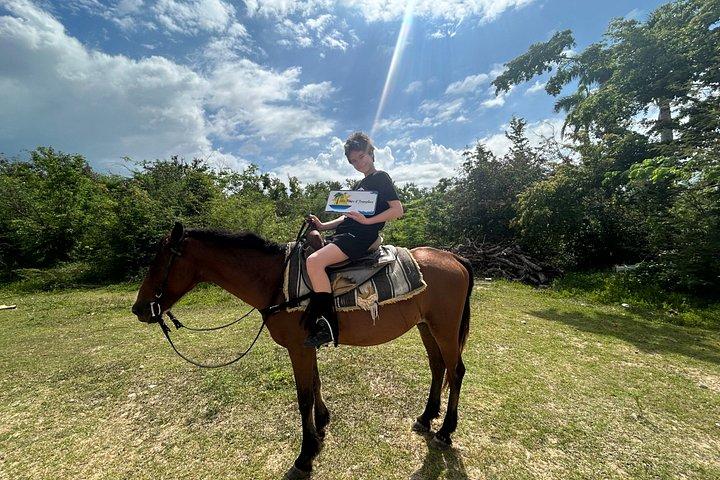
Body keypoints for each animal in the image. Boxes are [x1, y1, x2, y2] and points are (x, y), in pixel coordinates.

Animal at [132, 222, 473, 479]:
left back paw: (445, 432)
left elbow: (303, 396)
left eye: (158, 262)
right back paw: (426, 418)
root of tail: (454, 259)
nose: (138, 309)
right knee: (438, 366)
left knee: (456, 371)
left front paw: (305, 455)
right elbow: (316, 384)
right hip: (426, 326)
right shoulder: (308, 346)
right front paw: (321, 424)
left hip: (444, 327)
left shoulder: (298, 348)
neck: (276, 281)